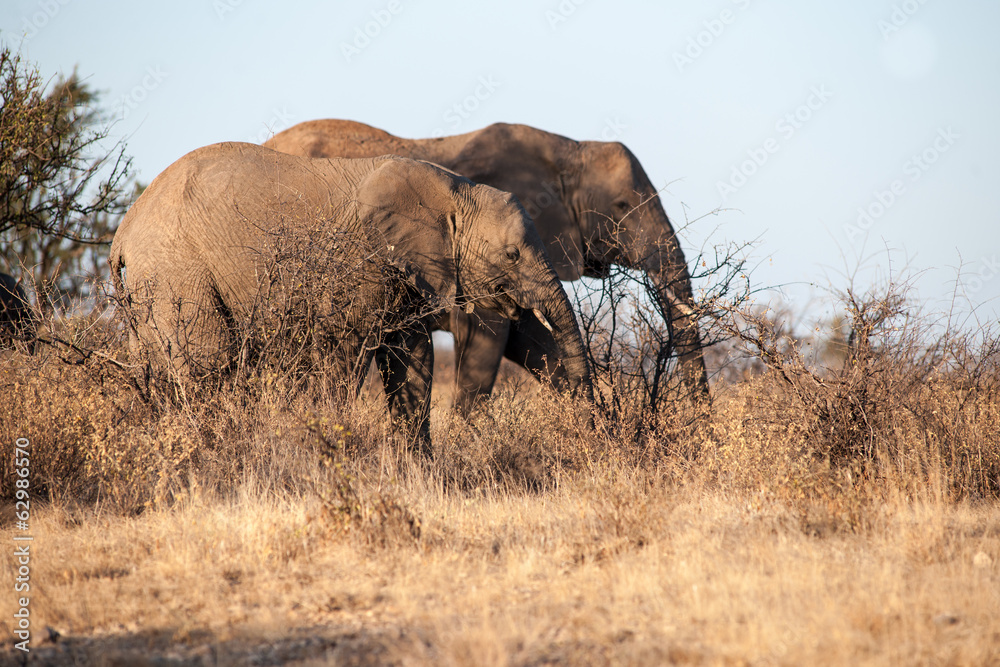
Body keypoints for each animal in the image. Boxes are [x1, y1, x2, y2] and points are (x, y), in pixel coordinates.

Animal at [109, 142, 592, 452]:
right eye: (512, 255)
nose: (593, 435)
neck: (455, 190)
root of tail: (123, 232)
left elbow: (411, 359)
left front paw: (420, 474)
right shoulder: (363, 262)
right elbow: (350, 351)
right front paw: (331, 450)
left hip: (147, 297)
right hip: (176, 273)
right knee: (209, 362)